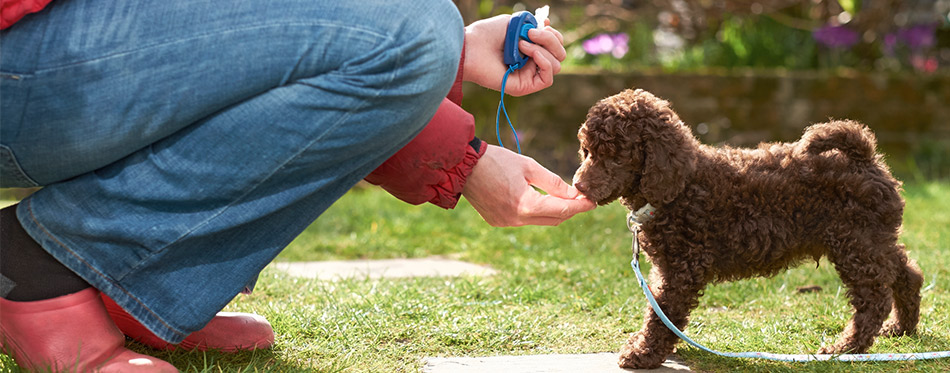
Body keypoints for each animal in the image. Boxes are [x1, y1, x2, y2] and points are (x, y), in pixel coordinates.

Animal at [572, 88, 924, 368]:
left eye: (615, 156)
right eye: (587, 151)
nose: (578, 185)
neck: (682, 185)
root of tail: (864, 157)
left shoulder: (681, 269)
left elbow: (662, 313)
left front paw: (643, 353)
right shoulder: (668, 268)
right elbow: (659, 310)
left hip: (855, 243)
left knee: (874, 298)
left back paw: (846, 348)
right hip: (873, 240)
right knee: (907, 273)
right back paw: (901, 328)